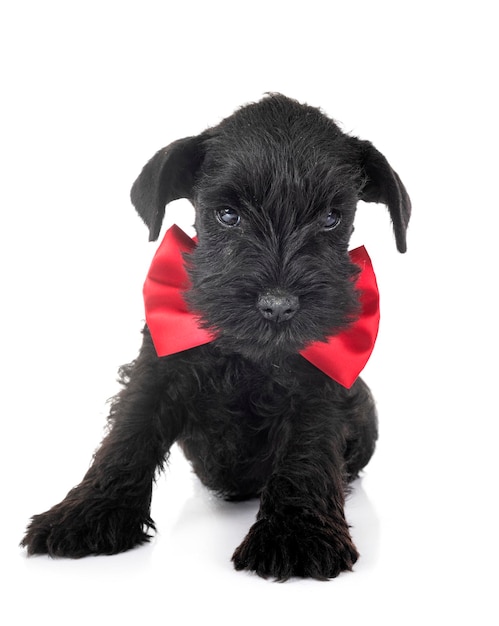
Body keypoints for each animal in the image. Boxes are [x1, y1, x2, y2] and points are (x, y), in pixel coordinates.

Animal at [22, 95, 410, 576]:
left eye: (331, 218)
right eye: (228, 215)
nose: (278, 304)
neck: (248, 356)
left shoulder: (318, 383)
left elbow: (307, 450)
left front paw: (296, 534)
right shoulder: (159, 368)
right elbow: (128, 432)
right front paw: (88, 513)